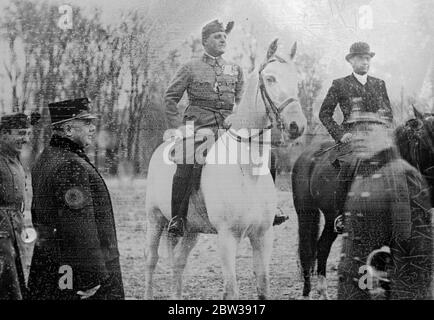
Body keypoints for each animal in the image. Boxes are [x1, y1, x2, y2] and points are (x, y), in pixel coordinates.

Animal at [144, 40, 306, 300]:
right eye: (270, 78)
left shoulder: (263, 236)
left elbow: (263, 285)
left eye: (297, 79)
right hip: (155, 219)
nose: (296, 126)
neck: (247, 173)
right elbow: (232, 289)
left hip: (191, 230)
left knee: (178, 262)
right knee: (151, 260)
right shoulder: (227, 238)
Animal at [294, 108, 434, 300]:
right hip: (306, 213)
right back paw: (307, 292)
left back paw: (323, 291)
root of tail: (306, 156)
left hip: (331, 219)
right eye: (426, 138)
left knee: (322, 247)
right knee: (307, 251)